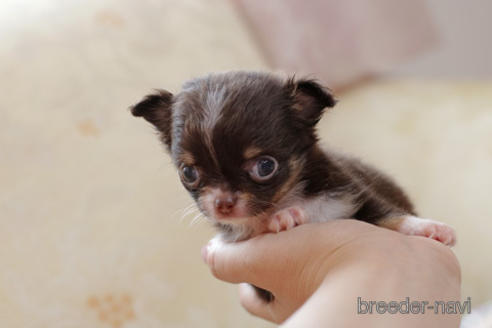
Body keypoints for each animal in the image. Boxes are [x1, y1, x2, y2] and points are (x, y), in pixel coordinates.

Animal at [132, 72, 458, 302]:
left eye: (265, 167)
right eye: (189, 172)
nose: (222, 204)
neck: (293, 196)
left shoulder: (355, 195)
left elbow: (391, 215)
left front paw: (427, 227)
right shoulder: (259, 283)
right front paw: (282, 217)